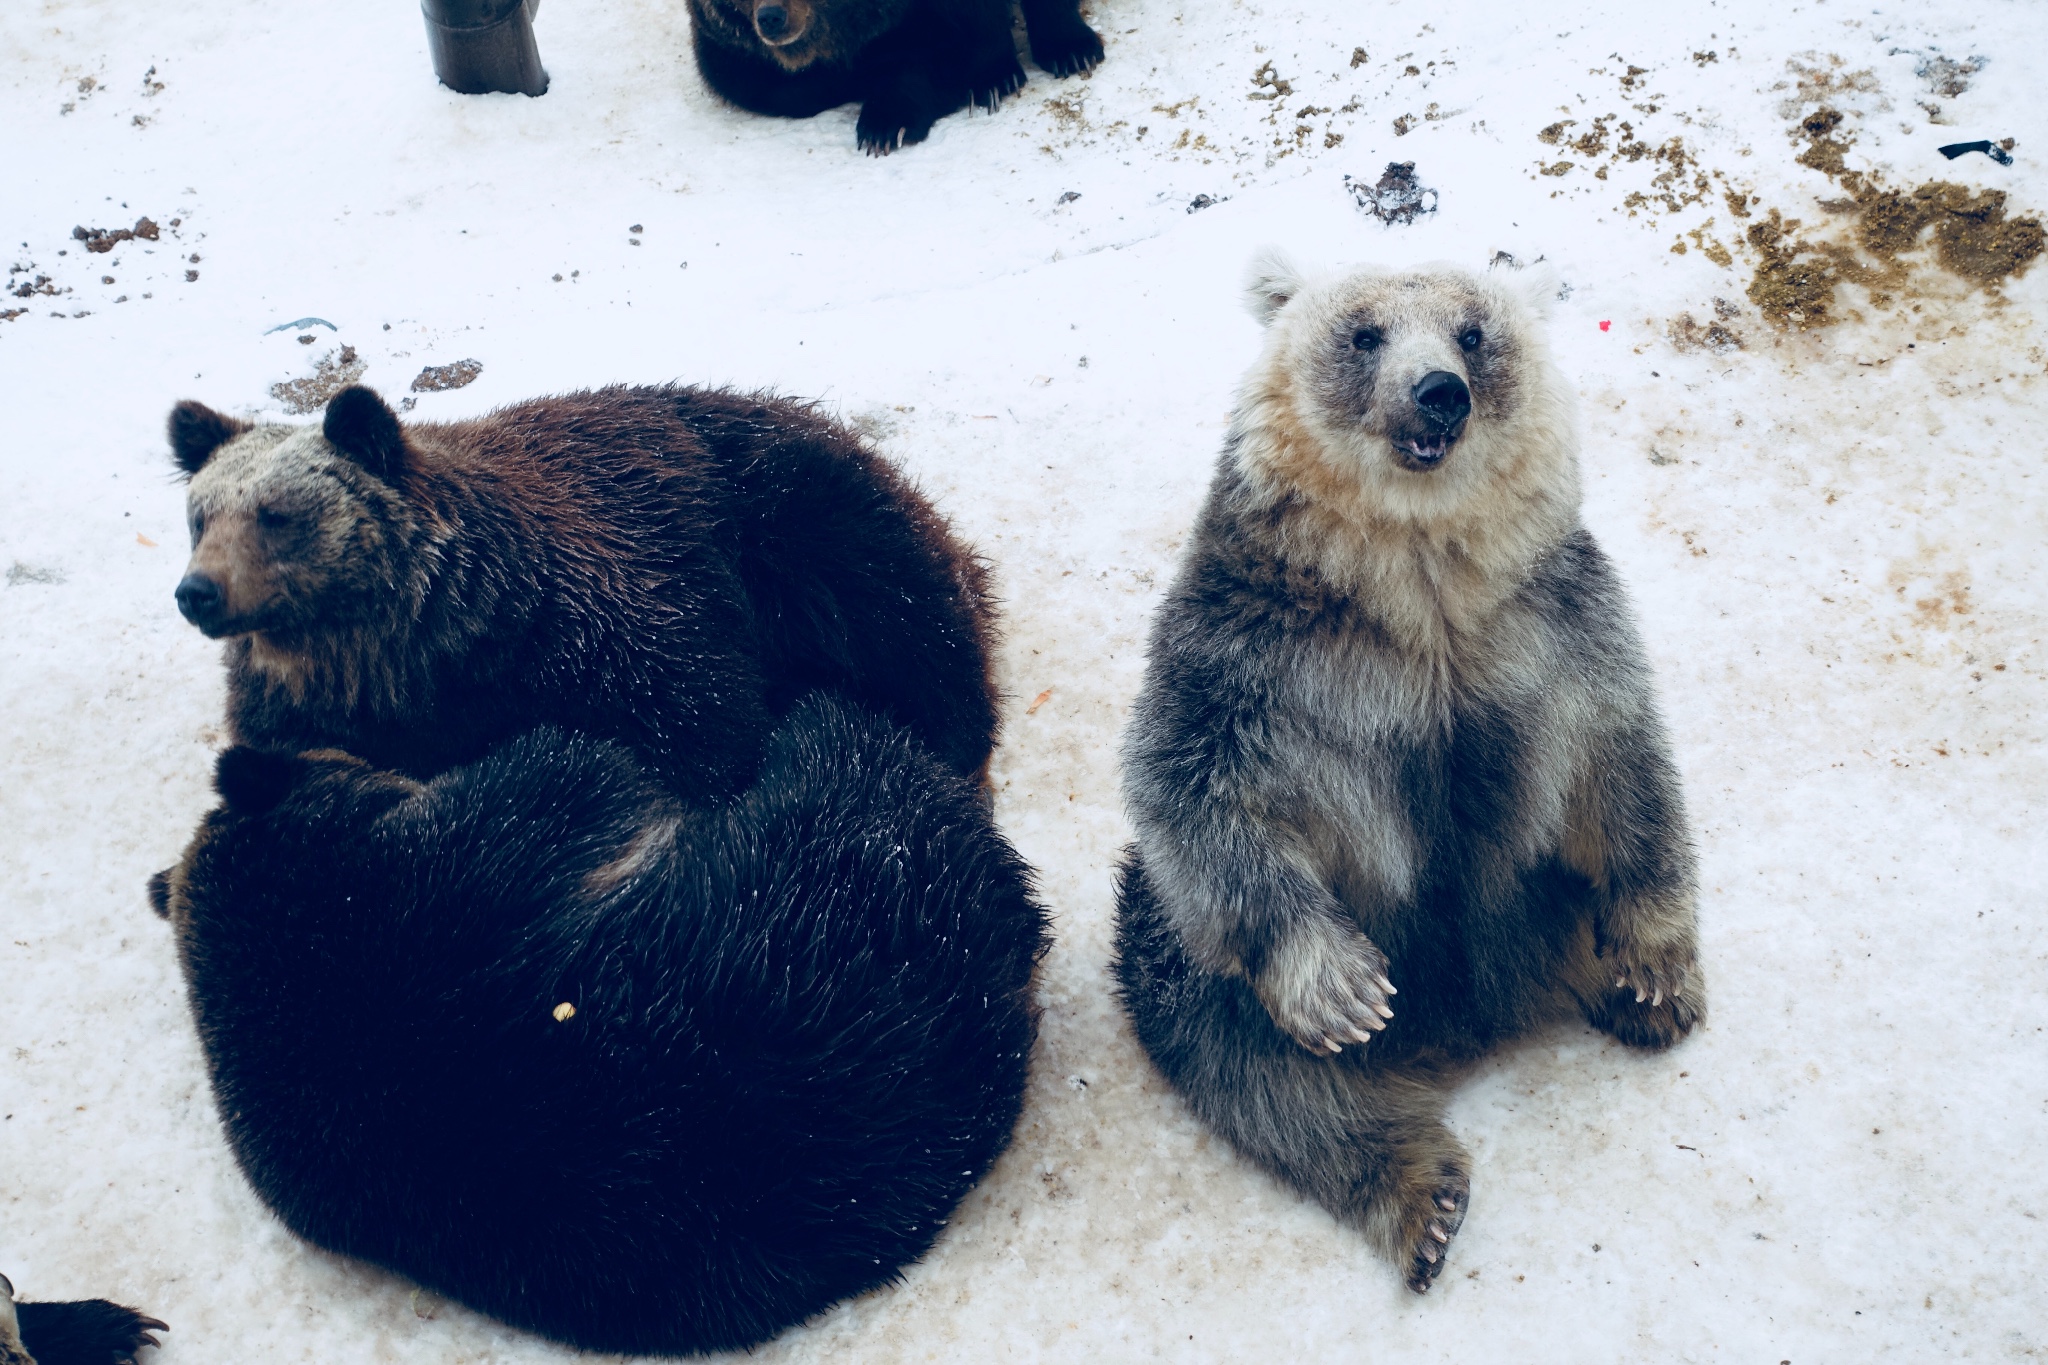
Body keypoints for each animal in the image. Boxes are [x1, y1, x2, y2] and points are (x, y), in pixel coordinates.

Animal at [167, 384, 999, 802]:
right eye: (201, 515)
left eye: (276, 514)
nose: (198, 591)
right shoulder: (313, 710)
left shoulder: (601, 627)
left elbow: (708, 727)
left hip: (801, 527)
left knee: (912, 631)